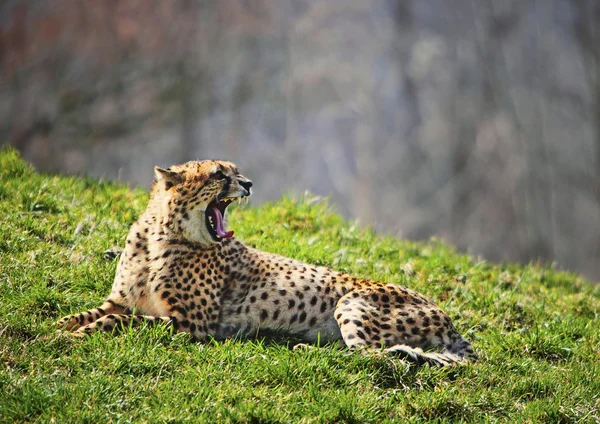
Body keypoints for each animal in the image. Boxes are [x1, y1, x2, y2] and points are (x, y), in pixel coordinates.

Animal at [57, 161, 478, 366]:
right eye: (218, 174)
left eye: (235, 170)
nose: (248, 184)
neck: (161, 234)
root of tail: (447, 317)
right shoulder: (121, 300)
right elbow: (92, 313)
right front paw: (59, 327)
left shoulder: (194, 326)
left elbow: (123, 321)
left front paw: (76, 334)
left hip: (352, 302)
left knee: (373, 356)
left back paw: (309, 352)